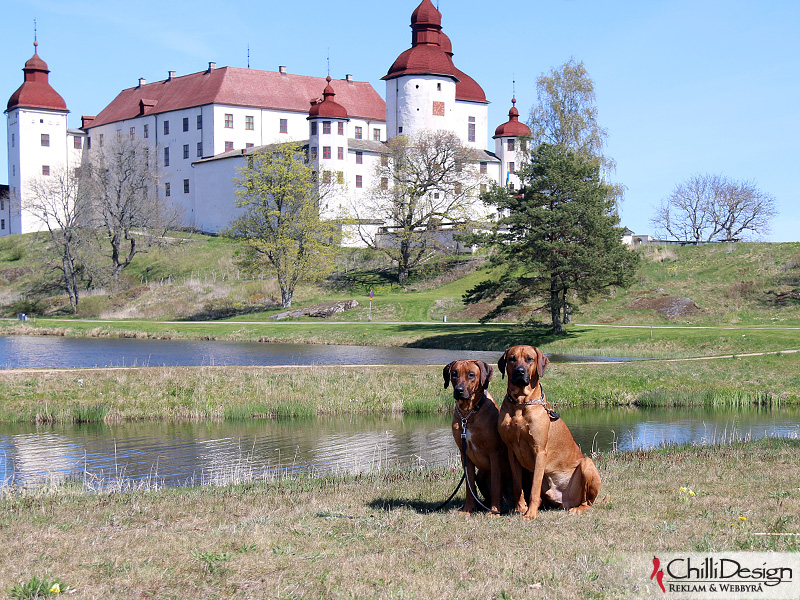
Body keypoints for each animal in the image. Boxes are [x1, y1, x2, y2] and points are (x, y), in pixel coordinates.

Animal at [446, 358, 510, 512]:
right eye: (454, 374)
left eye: (471, 374)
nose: (459, 390)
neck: (468, 414)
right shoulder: (464, 454)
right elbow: (470, 486)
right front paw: (468, 509)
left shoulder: (494, 453)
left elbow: (495, 485)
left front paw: (494, 511)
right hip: (481, 474)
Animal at [494, 344, 600, 516]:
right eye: (512, 359)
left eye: (530, 359)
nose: (520, 372)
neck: (521, 404)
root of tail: (567, 501)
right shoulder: (512, 451)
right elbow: (517, 485)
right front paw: (519, 509)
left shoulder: (539, 451)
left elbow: (534, 489)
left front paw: (530, 514)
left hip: (587, 464)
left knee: (588, 501)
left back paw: (579, 508)